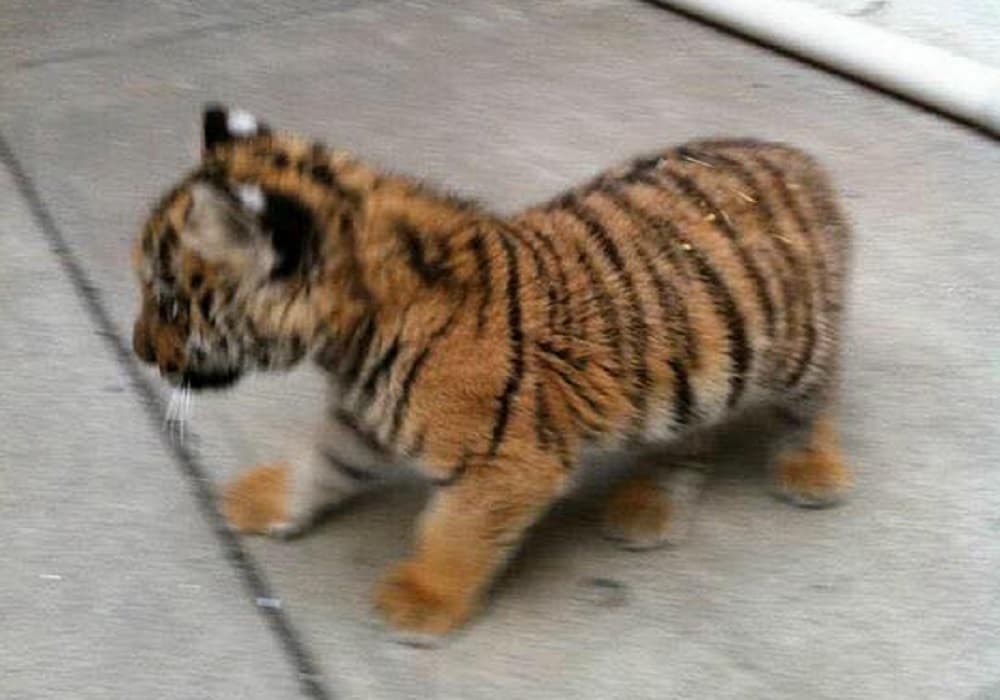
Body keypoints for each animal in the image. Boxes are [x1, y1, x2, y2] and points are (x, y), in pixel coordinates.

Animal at [131, 105, 851, 642]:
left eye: (167, 300)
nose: (140, 350)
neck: (350, 336)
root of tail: (801, 160)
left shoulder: (504, 464)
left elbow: (455, 533)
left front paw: (421, 600)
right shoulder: (360, 419)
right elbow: (320, 464)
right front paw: (268, 502)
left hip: (796, 351)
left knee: (815, 401)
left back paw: (813, 470)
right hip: (690, 371)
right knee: (692, 436)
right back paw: (649, 508)